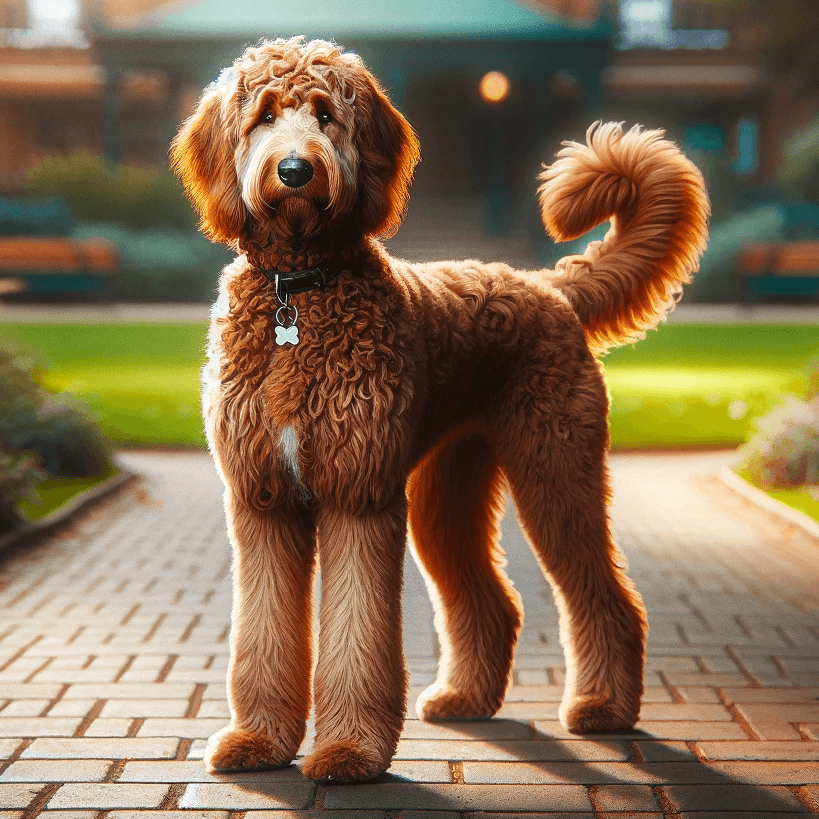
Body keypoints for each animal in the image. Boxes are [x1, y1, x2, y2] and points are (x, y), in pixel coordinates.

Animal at [175, 36, 712, 780]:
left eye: (326, 114)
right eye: (263, 115)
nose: (294, 171)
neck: (299, 297)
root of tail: (551, 288)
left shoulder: (360, 496)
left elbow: (356, 635)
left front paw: (349, 751)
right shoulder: (263, 500)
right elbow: (263, 634)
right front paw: (258, 741)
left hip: (554, 470)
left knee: (606, 596)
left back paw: (603, 709)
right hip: (447, 493)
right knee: (493, 600)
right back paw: (465, 699)